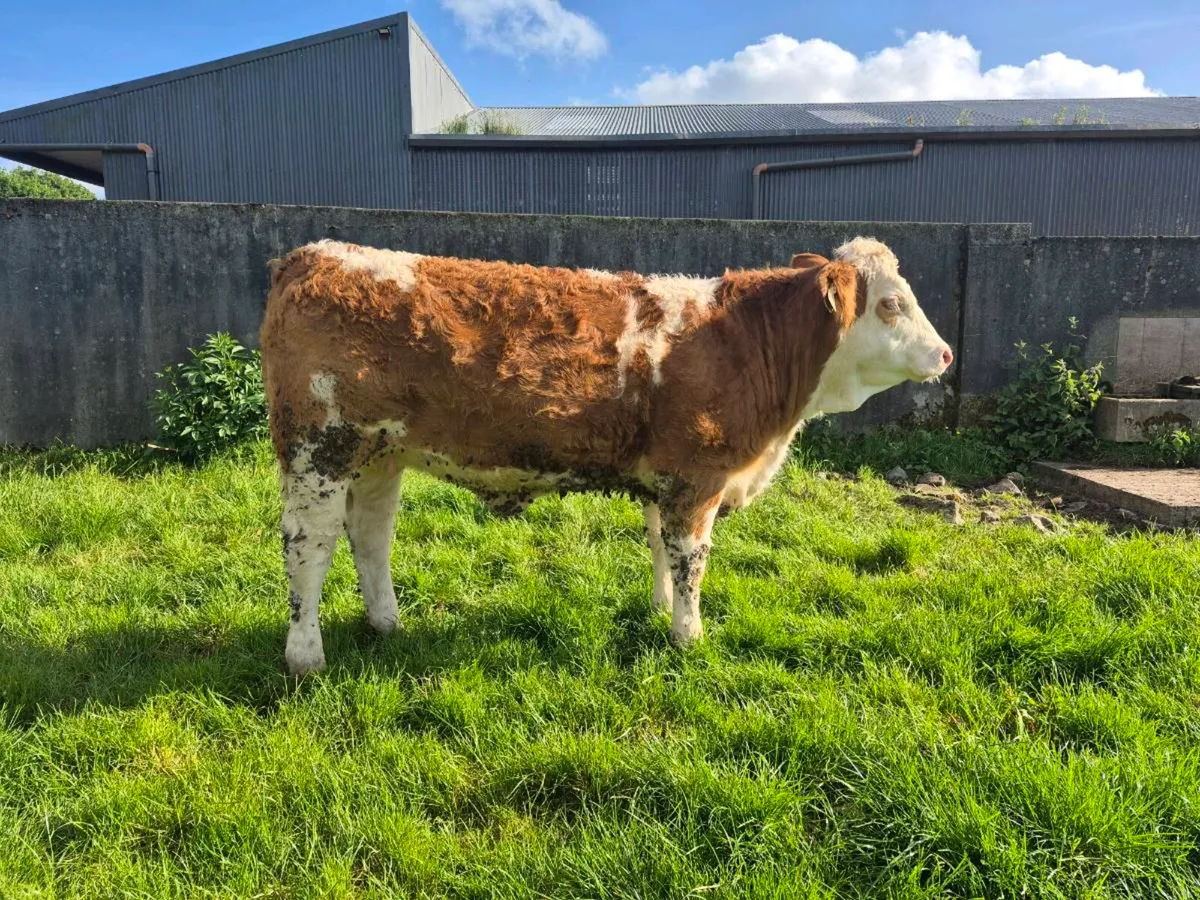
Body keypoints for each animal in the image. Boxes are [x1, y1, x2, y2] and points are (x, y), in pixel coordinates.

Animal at [260, 237, 953, 675]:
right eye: (892, 302)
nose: (946, 353)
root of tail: (311, 255)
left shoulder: (667, 479)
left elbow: (661, 548)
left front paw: (660, 611)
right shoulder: (698, 476)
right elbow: (693, 560)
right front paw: (690, 637)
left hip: (382, 452)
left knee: (371, 534)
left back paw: (386, 623)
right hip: (320, 447)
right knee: (309, 545)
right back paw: (306, 655)